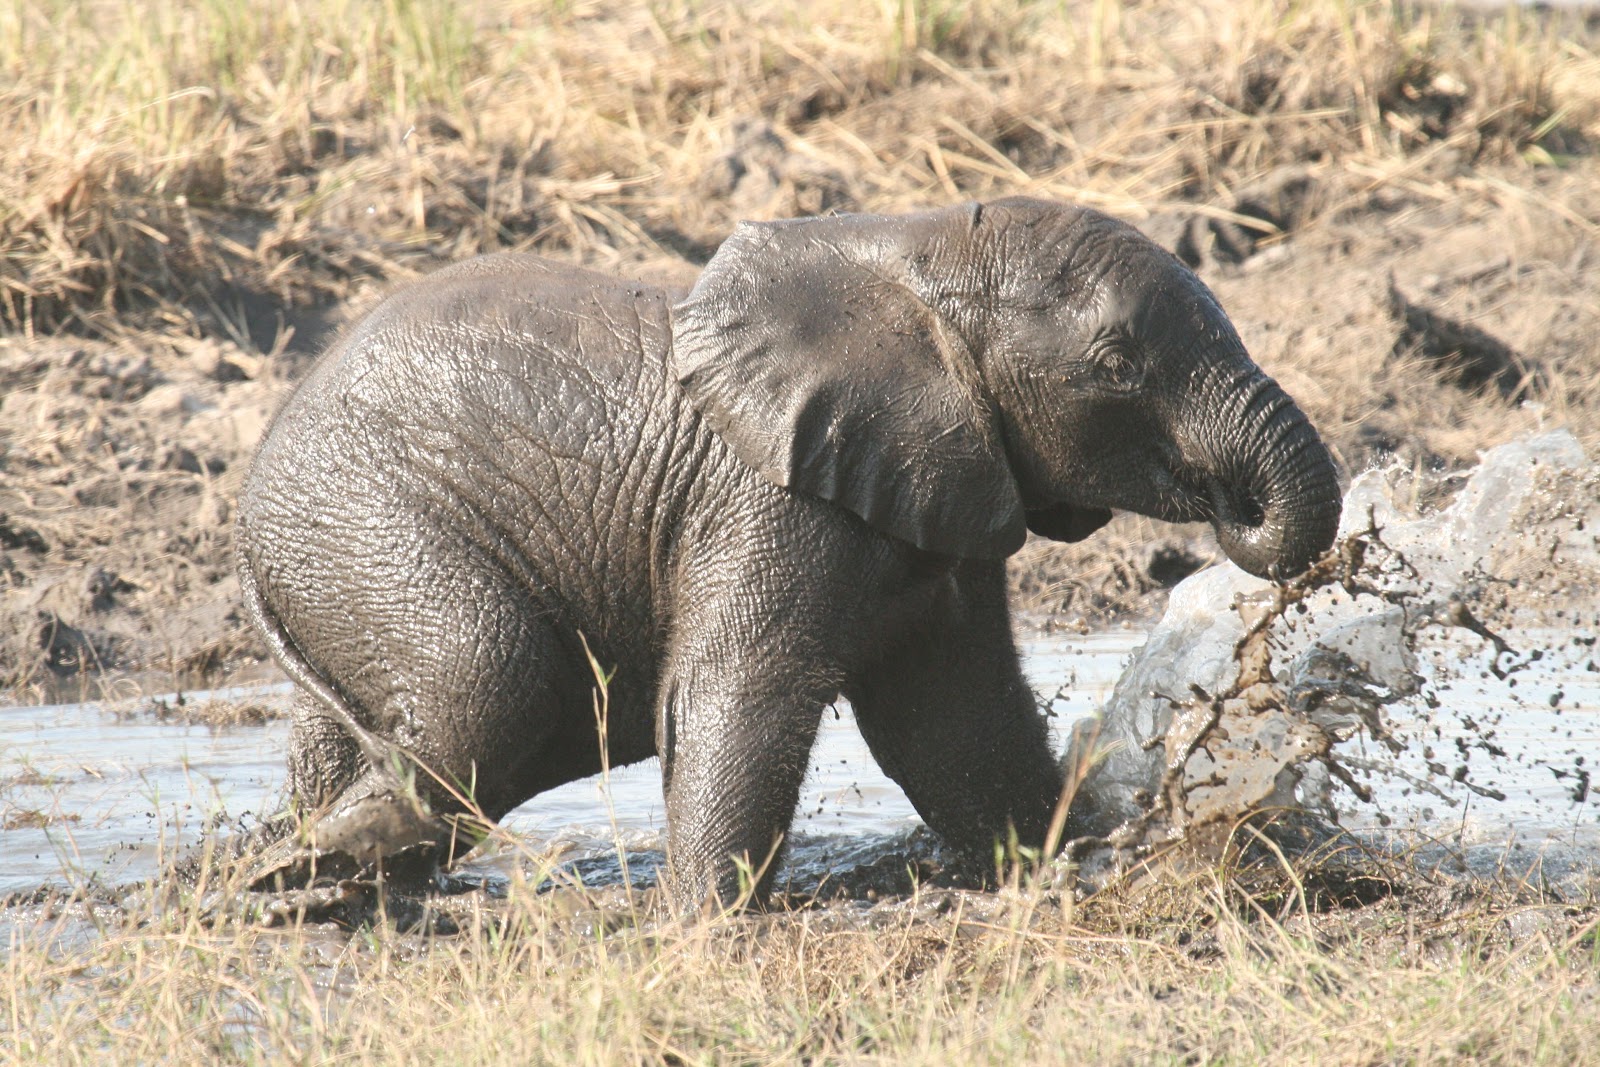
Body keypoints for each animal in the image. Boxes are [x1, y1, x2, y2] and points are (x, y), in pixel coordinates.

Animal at [233, 198, 1337, 908]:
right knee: (490, 685)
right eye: (1116, 367)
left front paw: (1080, 861)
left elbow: (957, 723)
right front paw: (702, 926)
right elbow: (737, 688)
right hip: (366, 518)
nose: (1227, 511)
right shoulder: (768, 498)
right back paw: (286, 878)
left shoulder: (938, 497)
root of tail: (250, 502)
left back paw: (307, 880)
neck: (912, 251)